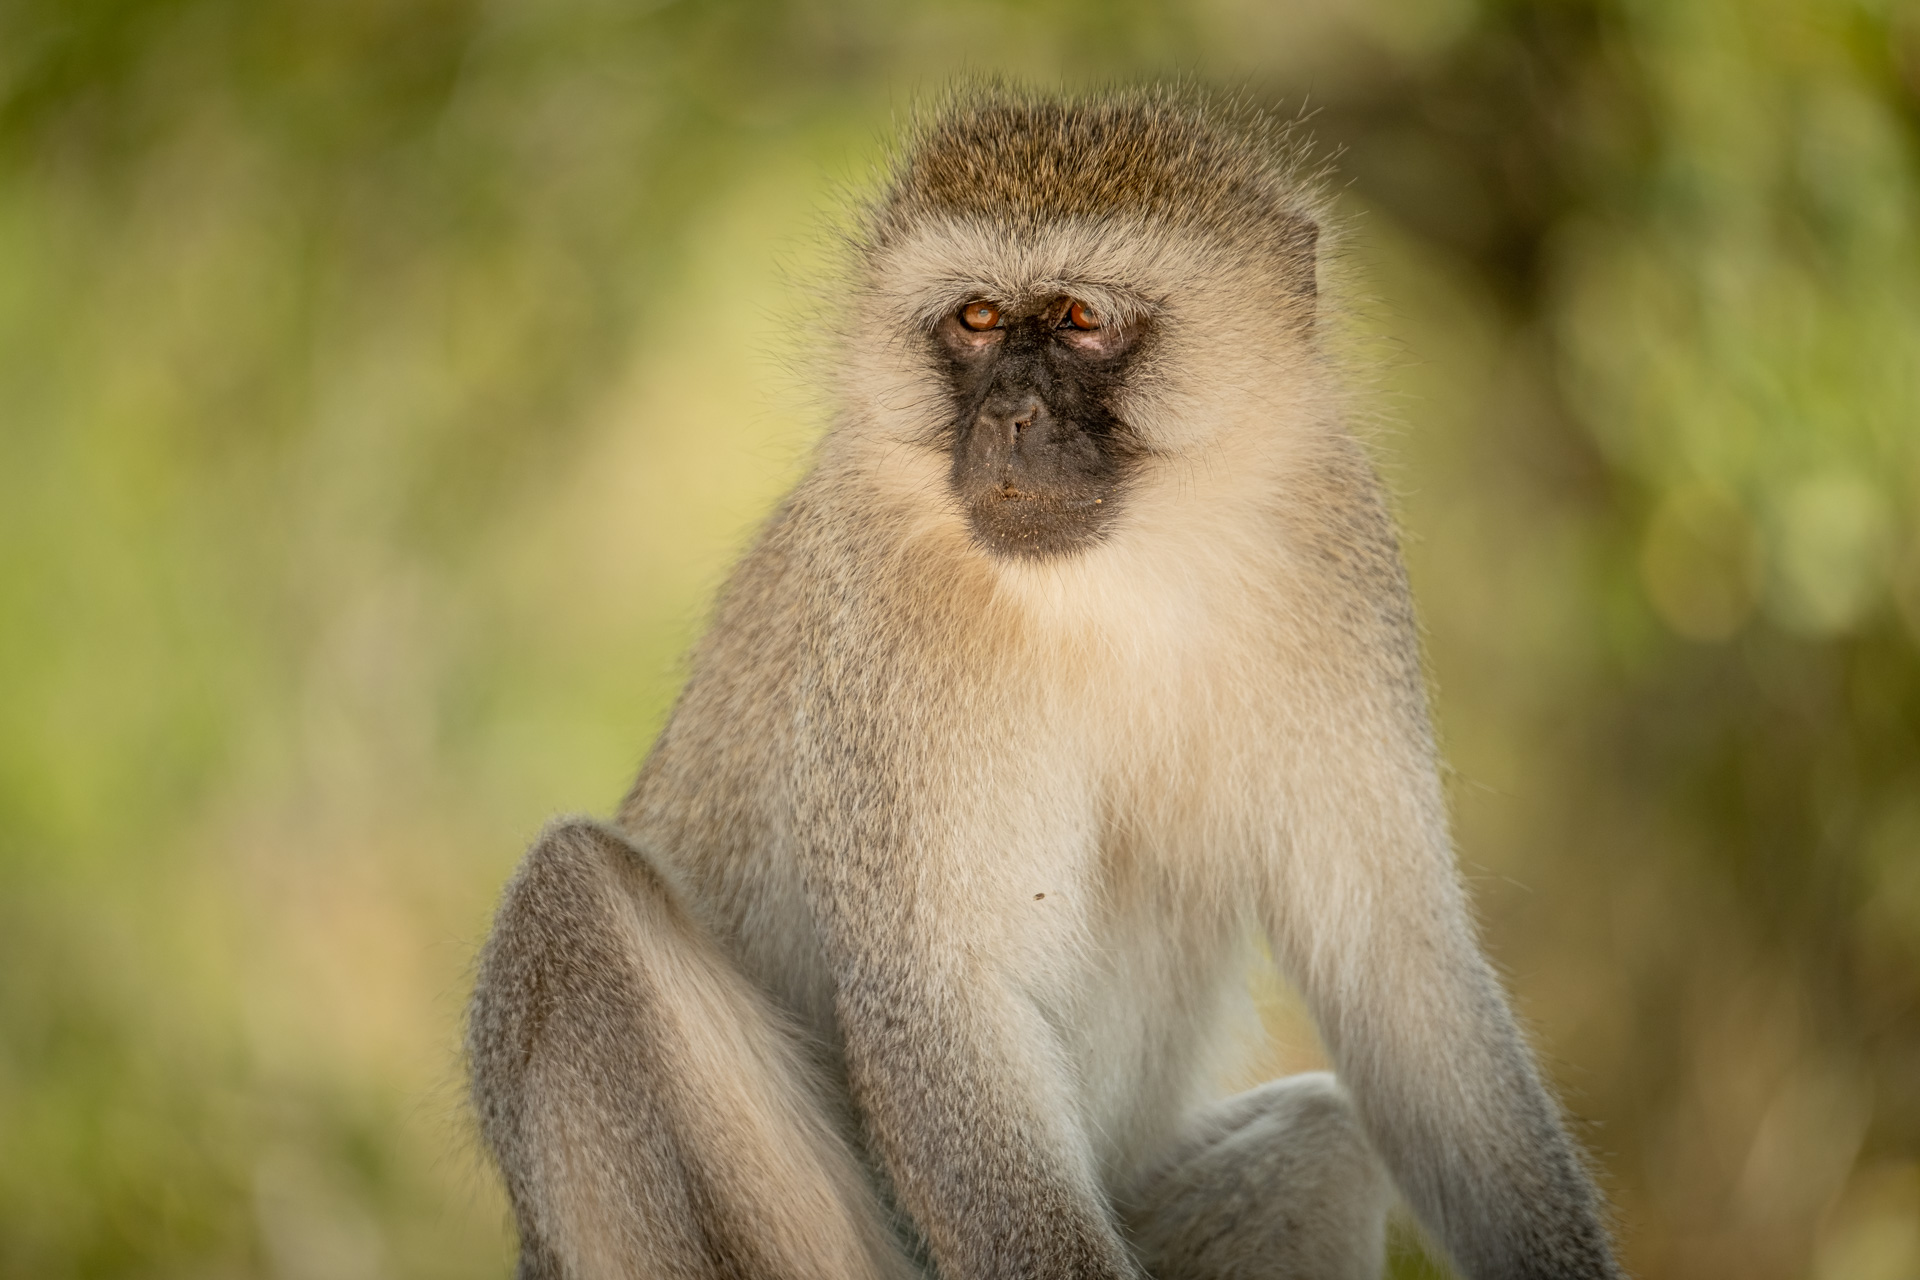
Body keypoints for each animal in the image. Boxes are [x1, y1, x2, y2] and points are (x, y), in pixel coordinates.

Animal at [468, 90, 1620, 1280]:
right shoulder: (887, 612)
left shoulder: (1336, 547)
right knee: (571, 894)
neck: (1116, 571)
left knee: (1326, 1138)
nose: (1007, 417)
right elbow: (944, 1004)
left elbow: (1403, 979)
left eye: (1075, 318)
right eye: (976, 318)